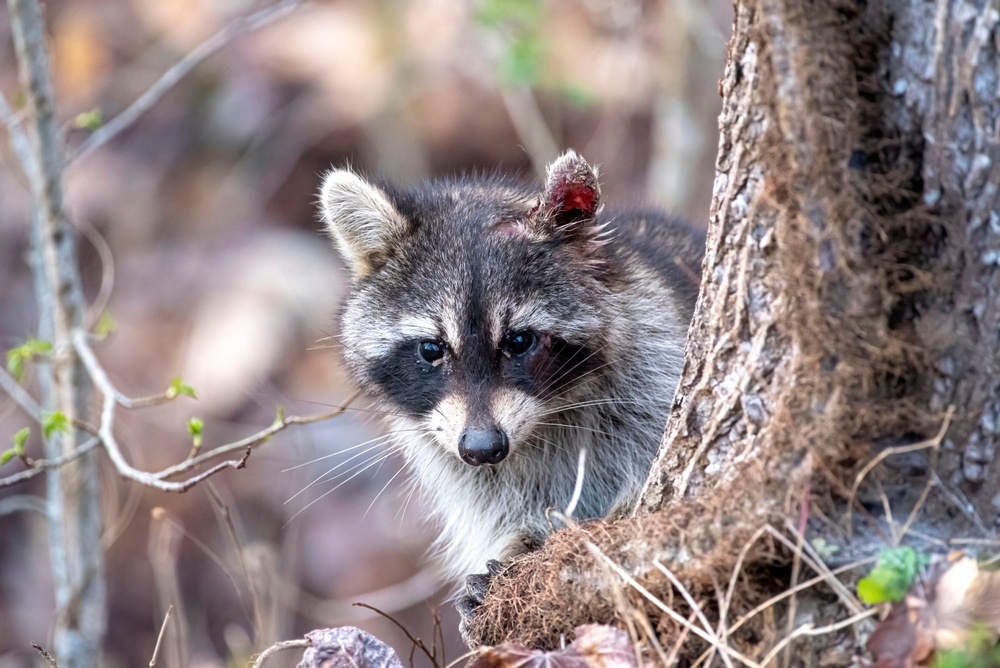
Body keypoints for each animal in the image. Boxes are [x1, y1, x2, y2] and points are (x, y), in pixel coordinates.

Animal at [318, 151, 702, 587]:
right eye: (432, 349)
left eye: (519, 342)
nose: (482, 449)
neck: (545, 422)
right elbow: (498, 508)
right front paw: (516, 543)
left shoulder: (653, 366)